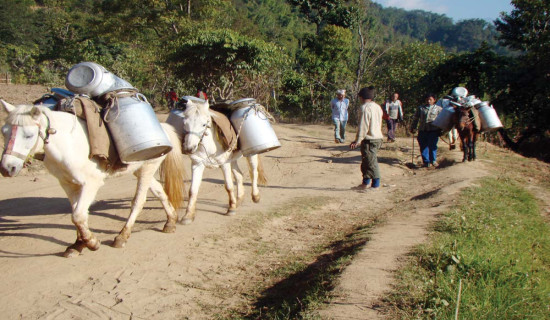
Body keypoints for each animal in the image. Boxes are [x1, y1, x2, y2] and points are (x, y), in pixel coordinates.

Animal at [0, 100, 188, 258]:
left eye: (29, 135)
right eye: (4, 132)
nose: (7, 168)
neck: (67, 143)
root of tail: (163, 128)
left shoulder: (90, 184)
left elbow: (77, 215)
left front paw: (92, 243)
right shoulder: (68, 184)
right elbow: (79, 213)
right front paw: (78, 245)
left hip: (148, 168)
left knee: (138, 201)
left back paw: (122, 236)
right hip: (140, 170)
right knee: (159, 191)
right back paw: (170, 222)